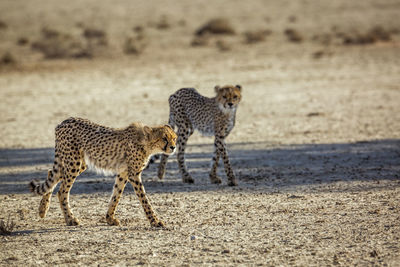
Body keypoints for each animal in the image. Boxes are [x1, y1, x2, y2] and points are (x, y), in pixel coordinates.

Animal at [28, 118, 176, 228]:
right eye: (164, 138)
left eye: (174, 137)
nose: (173, 147)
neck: (146, 143)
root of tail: (63, 122)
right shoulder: (133, 174)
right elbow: (144, 199)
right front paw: (155, 221)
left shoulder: (123, 173)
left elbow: (116, 195)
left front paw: (110, 218)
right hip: (74, 163)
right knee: (62, 191)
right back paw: (70, 219)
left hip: (79, 164)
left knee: (51, 173)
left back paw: (42, 210)